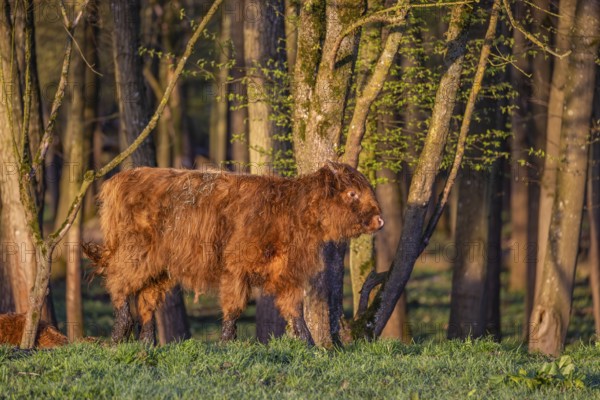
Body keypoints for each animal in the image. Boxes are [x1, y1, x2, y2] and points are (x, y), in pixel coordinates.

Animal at [84, 162, 382, 344]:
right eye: (352, 193)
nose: (379, 220)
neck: (289, 212)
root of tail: (120, 179)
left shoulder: (287, 272)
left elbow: (295, 310)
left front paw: (310, 345)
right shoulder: (236, 267)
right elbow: (234, 306)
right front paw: (226, 343)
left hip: (160, 268)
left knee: (147, 300)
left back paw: (147, 343)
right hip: (135, 253)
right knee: (119, 283)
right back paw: (118, 335)